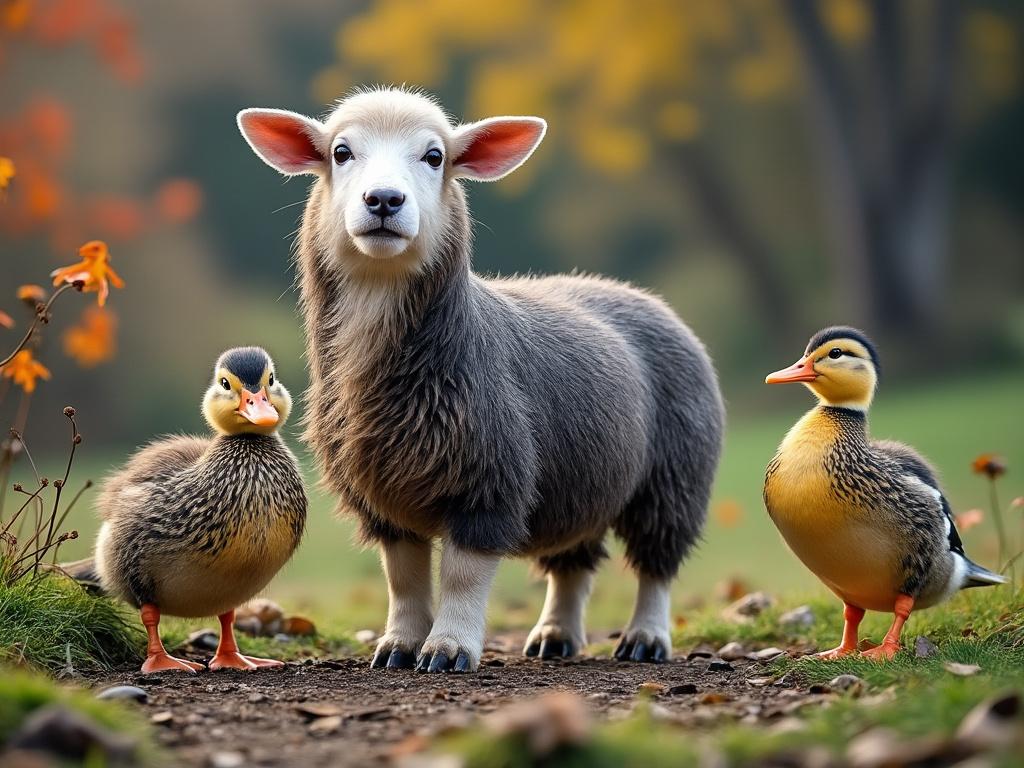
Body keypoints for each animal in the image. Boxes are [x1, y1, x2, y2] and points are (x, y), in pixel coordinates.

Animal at [237, 87, 724, 673]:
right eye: (340, 152)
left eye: (435, 156)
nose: (384, 200)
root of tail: (637, 294)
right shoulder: (381, 496)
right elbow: (403, 577)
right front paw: (399, 645)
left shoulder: (488, 479)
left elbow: (462, 576)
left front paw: (448, 648)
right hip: (581, 481)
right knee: (574, 562)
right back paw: (556, 635)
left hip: (675, 475)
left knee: (656, 564)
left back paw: (646, 638)